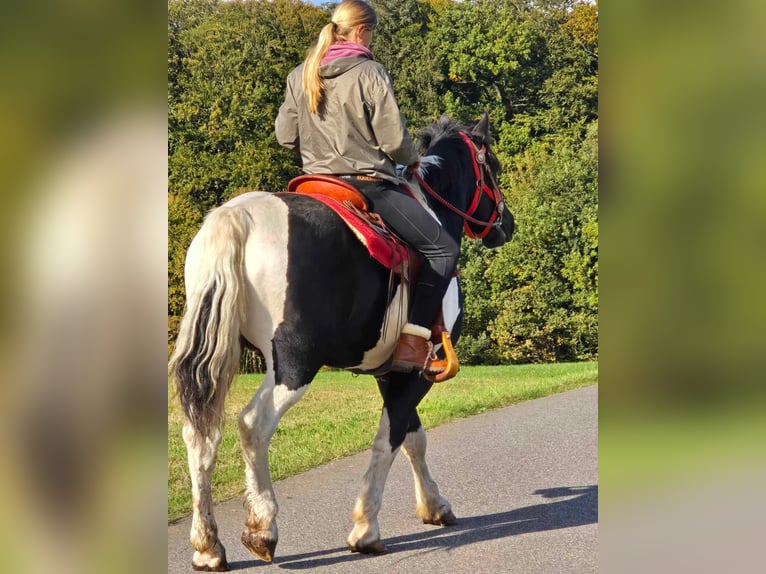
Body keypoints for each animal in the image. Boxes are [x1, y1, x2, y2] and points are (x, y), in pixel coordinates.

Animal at [168, 113, 516, 572]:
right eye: (492, 167)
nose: (507, 225)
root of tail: (237, 215)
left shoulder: (394, 372)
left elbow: (413, 438)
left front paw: (434, 505)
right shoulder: (415, 373)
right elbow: (389, 439)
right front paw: (366, 528)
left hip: (217, 358)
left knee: (200, 436)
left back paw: (208, 546)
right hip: (294, 364)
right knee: (253, 425)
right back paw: (262, 528)